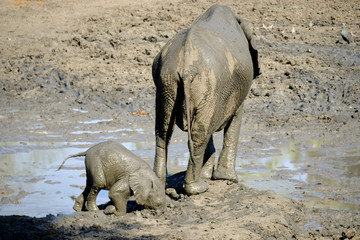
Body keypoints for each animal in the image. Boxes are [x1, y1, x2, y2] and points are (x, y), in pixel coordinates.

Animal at [151, 4, 258, 195]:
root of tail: (186, 65)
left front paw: (210, 175)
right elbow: (235, 119)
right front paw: (228, 179)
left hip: (167, 84)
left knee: (164, 131)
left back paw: (160, 185)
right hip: (207, 85)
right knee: (199, 133)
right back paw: (198, 188)